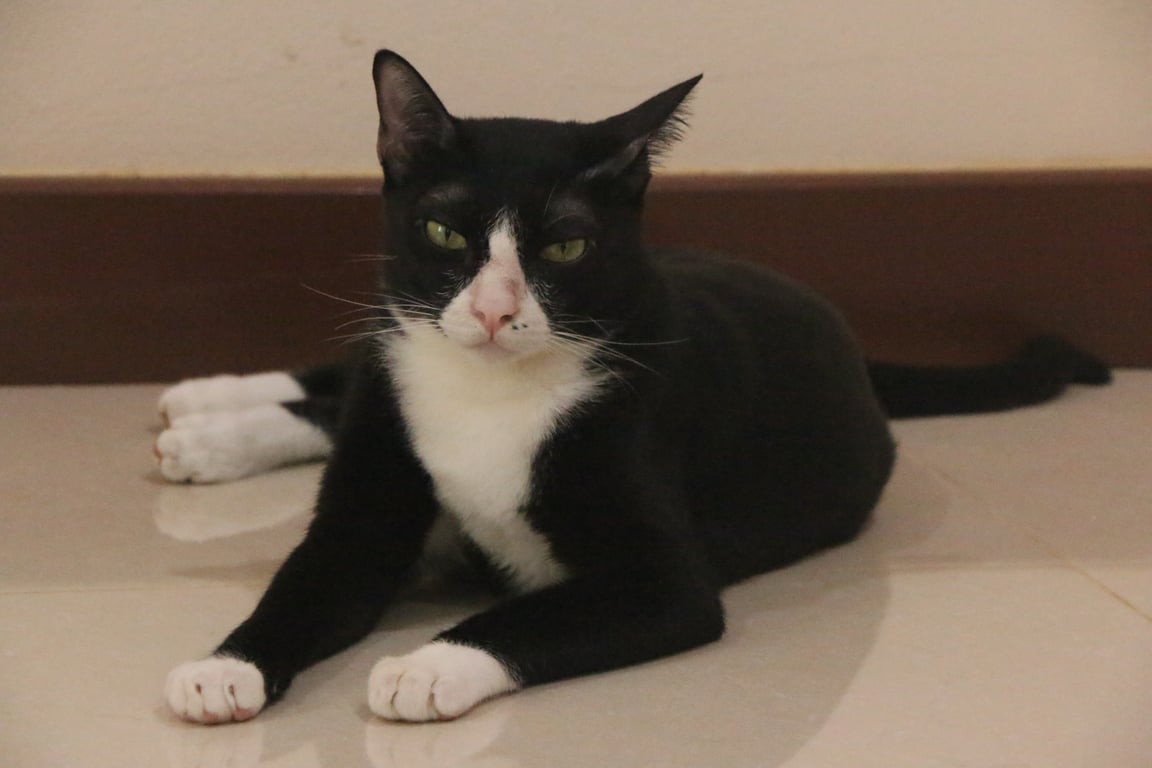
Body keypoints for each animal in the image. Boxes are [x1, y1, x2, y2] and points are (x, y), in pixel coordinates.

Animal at [160, 50, 1110, 724]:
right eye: (444, 231)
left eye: (565, 246)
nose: (496, 311)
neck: (487, 398)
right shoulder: (368, 501)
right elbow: (305, 580)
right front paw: (221, 669)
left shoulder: (664, 578)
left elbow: (538, 614)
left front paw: (427, 665)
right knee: (349, 377)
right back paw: (207, 411)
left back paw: (205, 429)